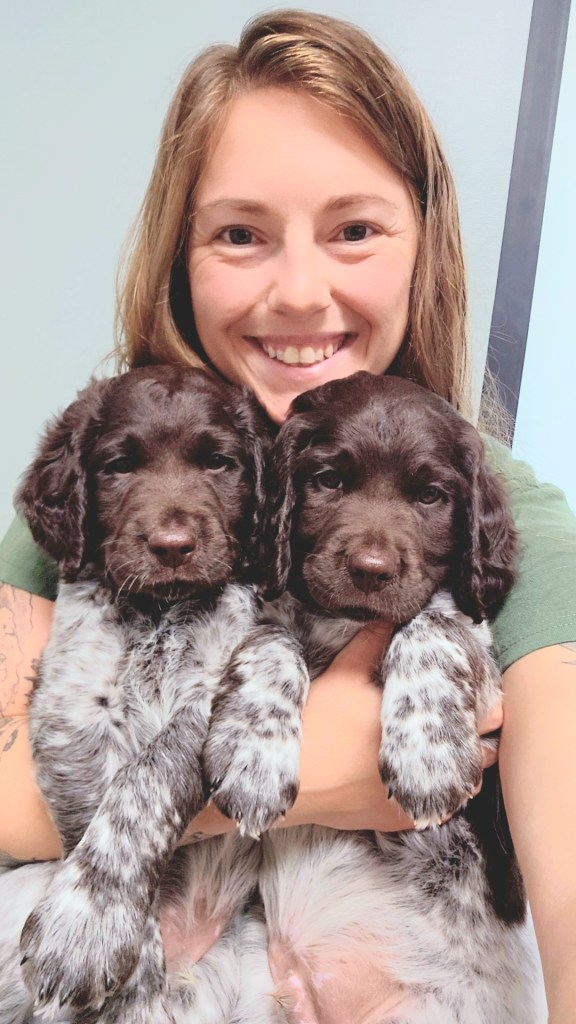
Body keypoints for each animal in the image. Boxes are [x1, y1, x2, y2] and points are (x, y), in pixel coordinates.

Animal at [203, 371, 547, 1023]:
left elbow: (431, 624)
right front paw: (253, 758)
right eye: (327, 480)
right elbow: (270, 642)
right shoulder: (273, 613)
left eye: (431, 496)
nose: (370, 568)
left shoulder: (481, 660)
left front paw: (428, 756)